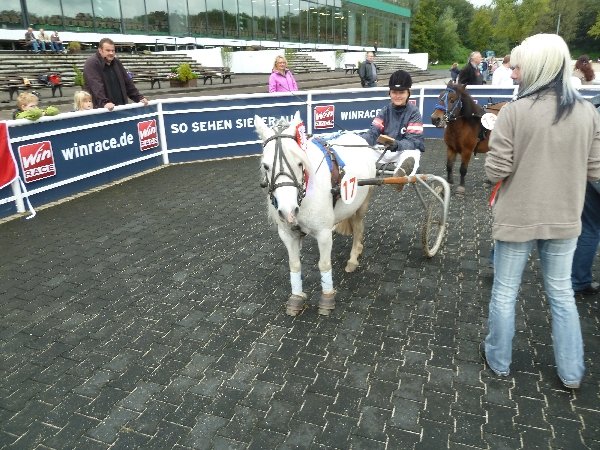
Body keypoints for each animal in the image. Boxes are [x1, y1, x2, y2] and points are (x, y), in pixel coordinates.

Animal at [255, 111, 376, 316]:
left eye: (299, 163)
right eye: (265, 166)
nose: (288, 211)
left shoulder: (324, 233)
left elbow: (324, 264)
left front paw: (327, 298)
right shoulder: (287, 234)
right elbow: (294, 265)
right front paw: (296, 297)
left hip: (362, 203)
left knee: (359, 227)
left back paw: (353, 258)